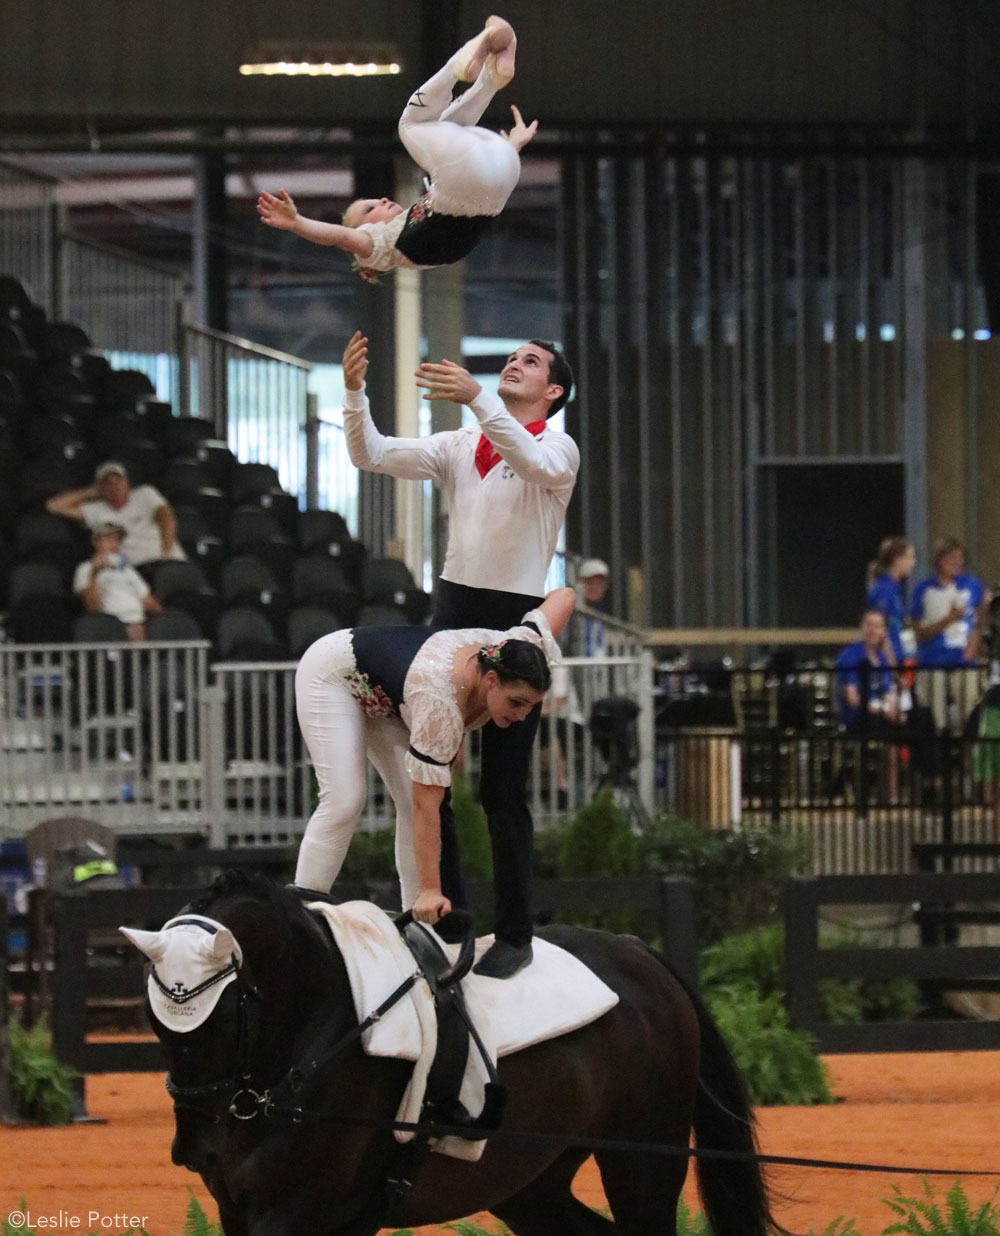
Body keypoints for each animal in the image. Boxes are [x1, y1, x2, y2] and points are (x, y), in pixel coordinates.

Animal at [128, 870, 781, 1236]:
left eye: (223, 1016)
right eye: (155, 1023)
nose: (196, 1150)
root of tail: (640, 953)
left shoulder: (293, 1215)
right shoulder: (242, 1213)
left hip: (643, 1165)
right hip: (531, 1185)